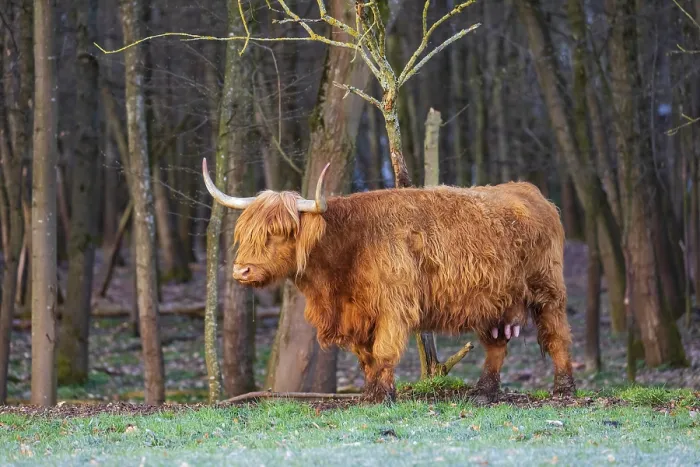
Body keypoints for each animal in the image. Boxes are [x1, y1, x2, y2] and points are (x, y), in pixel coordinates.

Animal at [202, 159, 576, 403]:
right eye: (245, 233)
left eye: (279, 233)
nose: (241, 271)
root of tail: (529, 191)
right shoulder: (356, 315)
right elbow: (365, 356)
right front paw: (371, 393)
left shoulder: (394, 306)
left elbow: (382, 352)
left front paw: (382, 396)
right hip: (494, 299)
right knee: (496, 344)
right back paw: (484, 392)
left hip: (547, 288)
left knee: (556, 335)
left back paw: (563, 388)